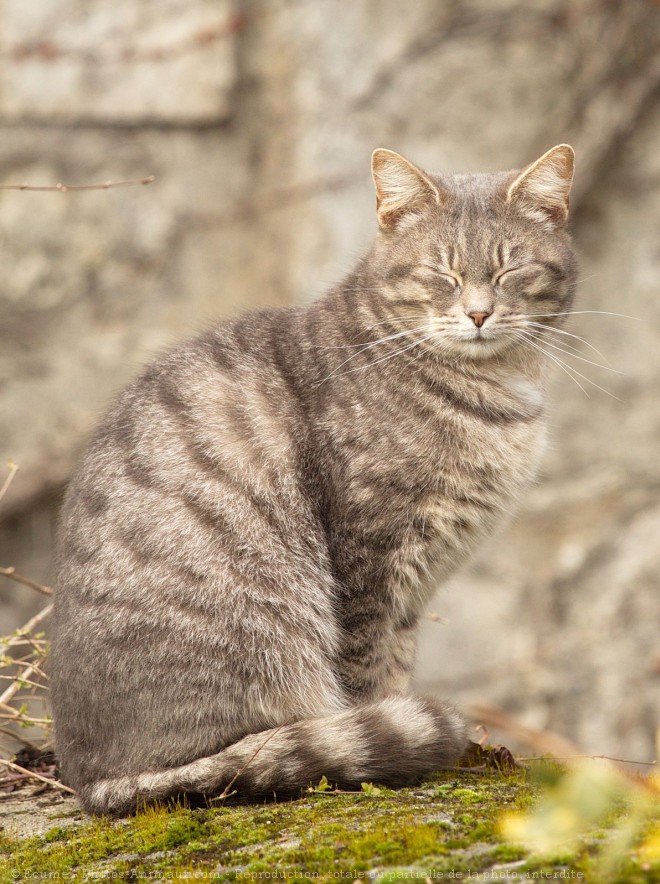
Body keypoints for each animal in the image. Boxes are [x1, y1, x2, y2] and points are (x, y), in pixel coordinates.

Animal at [50, 143, 576, 816]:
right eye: (443, 274)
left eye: (512, 270)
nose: (479, 313)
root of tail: (90, 778)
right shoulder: (368, 558)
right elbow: (365, 677)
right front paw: (386, 743)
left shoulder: (409, 592)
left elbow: (395, 668)